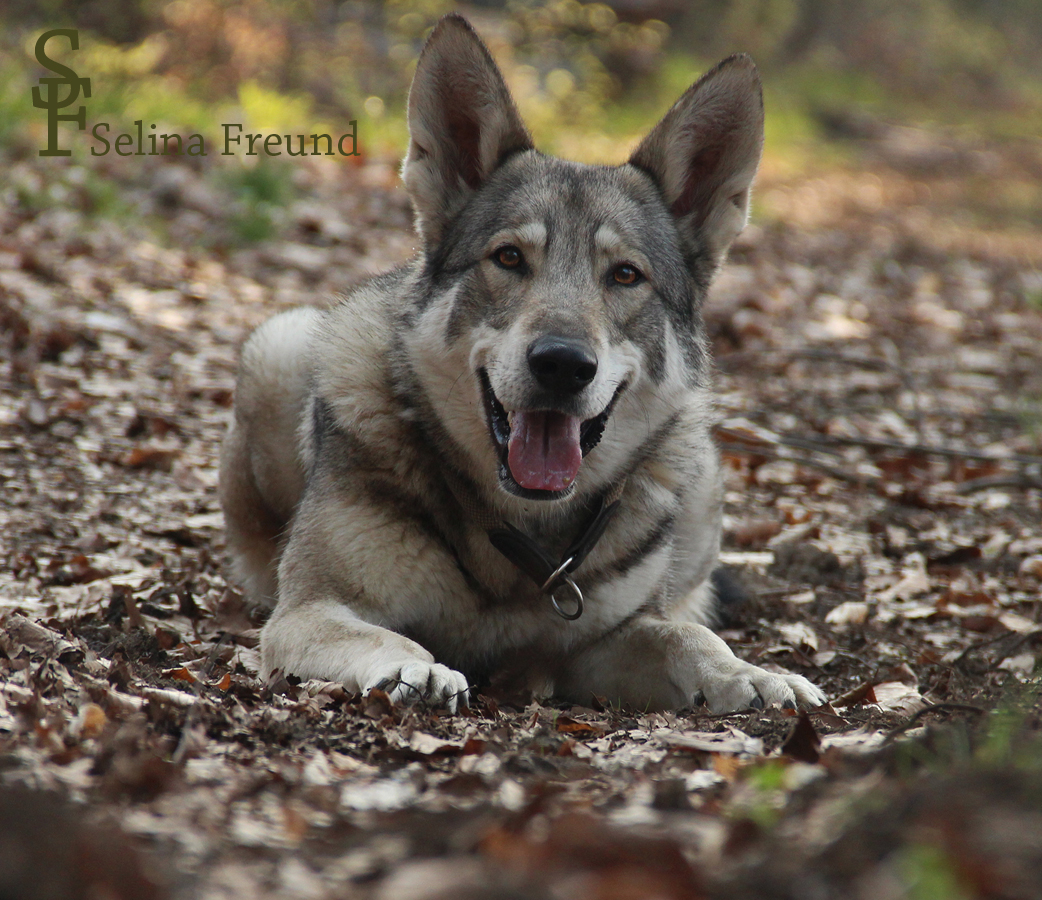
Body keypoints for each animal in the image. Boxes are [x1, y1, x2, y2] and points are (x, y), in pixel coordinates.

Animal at [217, 14, 821, 712]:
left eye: (625, 275)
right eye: (508, 258)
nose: (562, 364)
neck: (523, 534)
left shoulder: (597, 646)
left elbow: (689, 639)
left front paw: (755, 674)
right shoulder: (306, 612)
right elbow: (391, 637)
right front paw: (415, 669)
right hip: (280, 344)